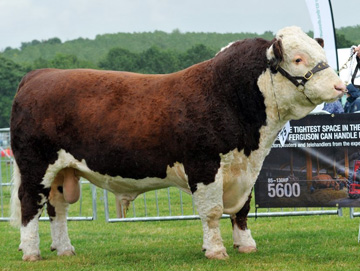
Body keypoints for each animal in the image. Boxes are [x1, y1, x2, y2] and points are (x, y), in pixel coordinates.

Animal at [9, 26, 344, 262]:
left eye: (321, 54)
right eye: (298, 59)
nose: (340, 86)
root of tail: (39, 74)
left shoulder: (248, 169)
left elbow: (242, 210)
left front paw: (245, 245)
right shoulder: (204, 165)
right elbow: (212, 211)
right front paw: (216, 250)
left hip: (62, 171)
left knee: (58, 208)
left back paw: (64, 249)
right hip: (35, 165)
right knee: (30, 204)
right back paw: (31, 252)